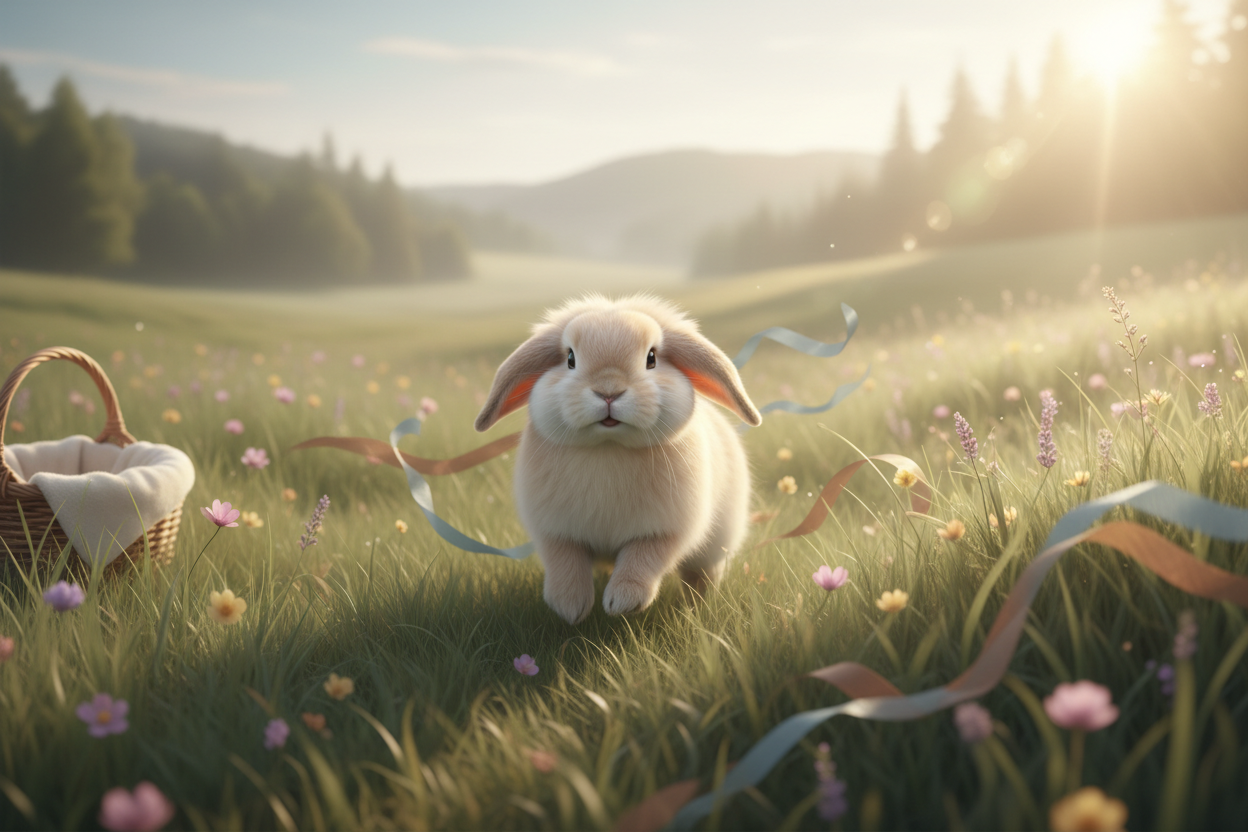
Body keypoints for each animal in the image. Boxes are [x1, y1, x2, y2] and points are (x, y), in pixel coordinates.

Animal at [475, 294, 761, 624]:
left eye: (651, 358)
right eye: (570, 359)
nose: (608, 391)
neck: (608, 446)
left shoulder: (665, 532)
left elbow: (643, 559)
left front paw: (622, 602)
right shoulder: (555, 532)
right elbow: (564, 563)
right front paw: (570, 606)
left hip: (714, 548)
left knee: (701, 577)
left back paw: (697, 607)